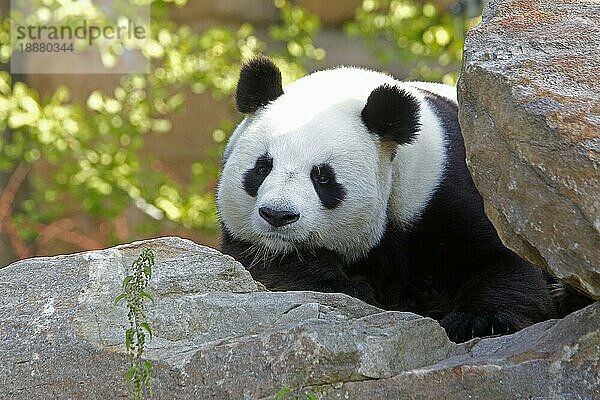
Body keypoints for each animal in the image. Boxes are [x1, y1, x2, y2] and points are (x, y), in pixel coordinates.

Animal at [217, 55, 556, 344]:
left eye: (323, 177)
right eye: (262, 167)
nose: (278, 215)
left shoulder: (446, 184)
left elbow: (506, 258)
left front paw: (479, 320)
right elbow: (270, 265)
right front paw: (350, 286)